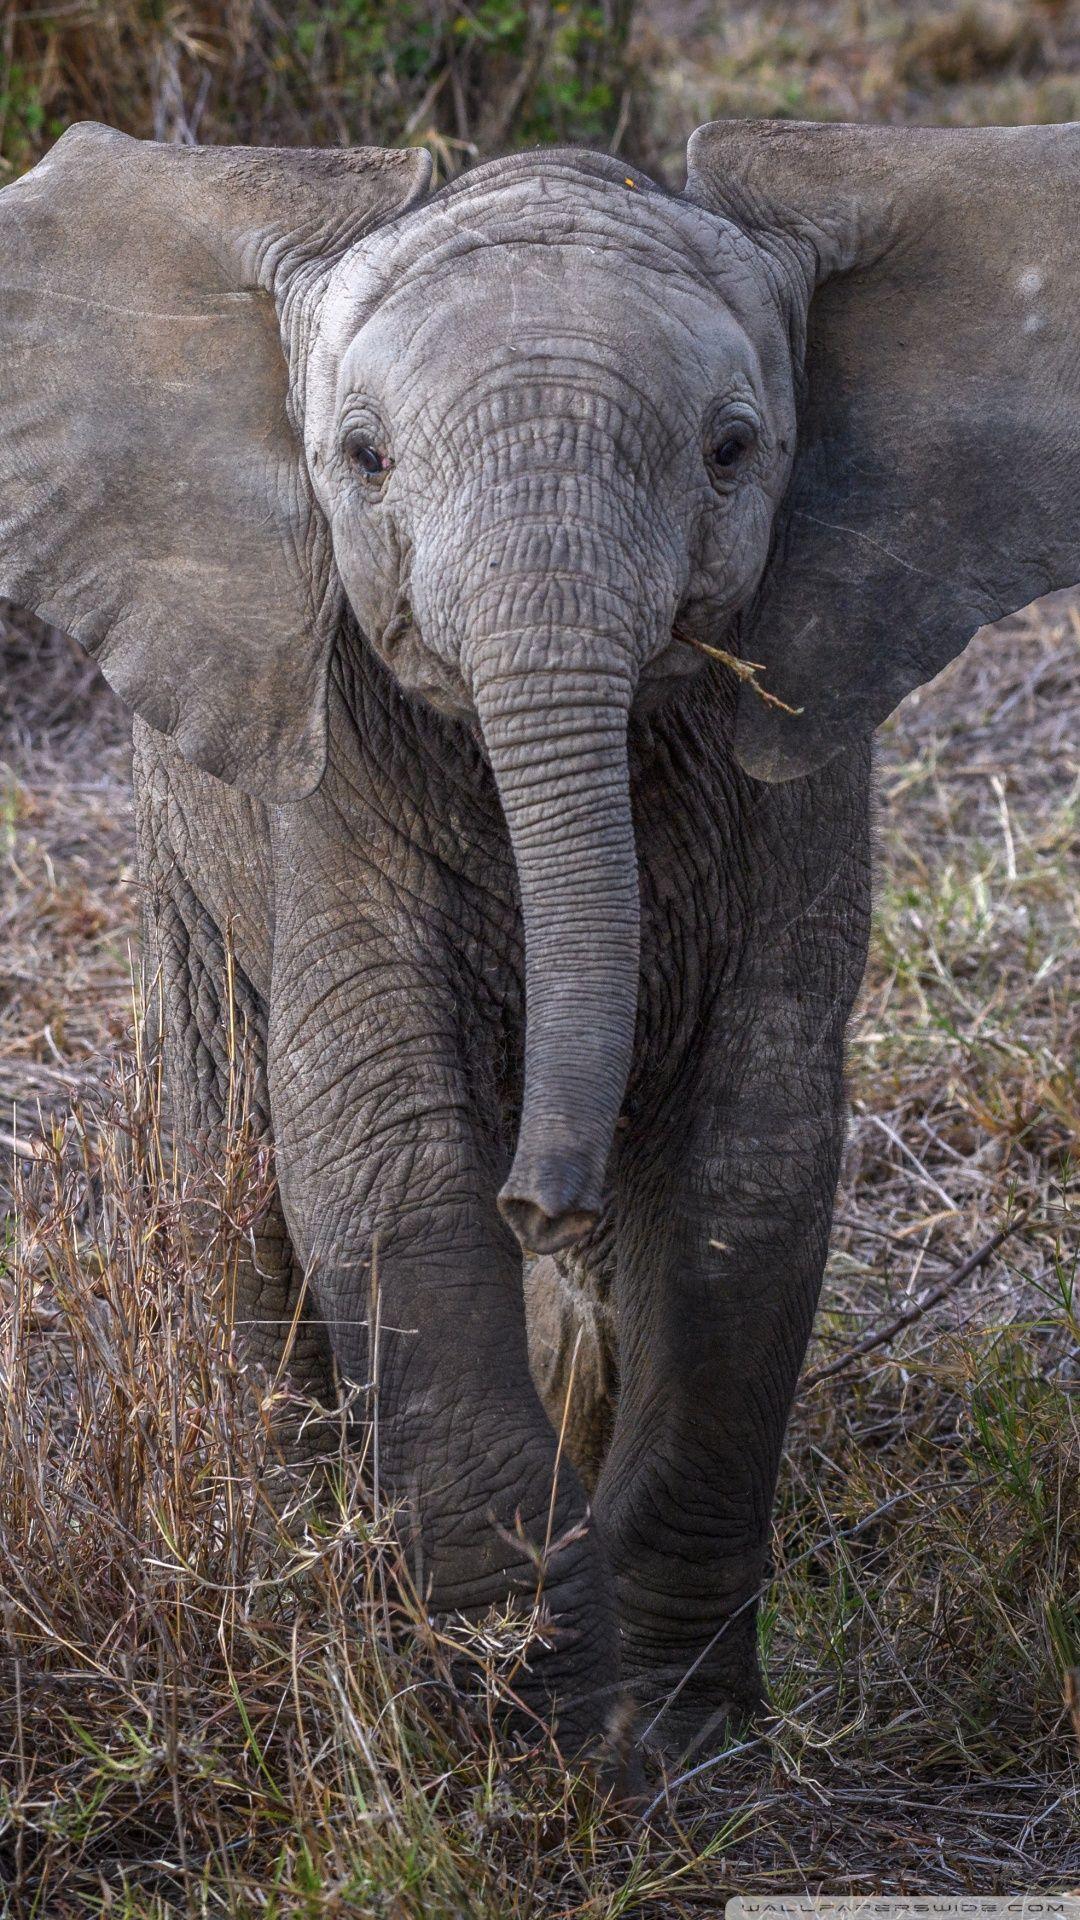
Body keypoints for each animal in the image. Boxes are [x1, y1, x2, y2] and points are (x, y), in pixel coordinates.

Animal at [1, 118, 1078, 1774]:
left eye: (731, 451)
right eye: (364, 459)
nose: (545, 1202)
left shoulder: (804, 744)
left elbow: (749, 1167)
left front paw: (676, 1745)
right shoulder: (334, 770)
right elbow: (385, 1162)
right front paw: (526, 1725)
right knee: (231, 1157)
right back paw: (293, 1553)